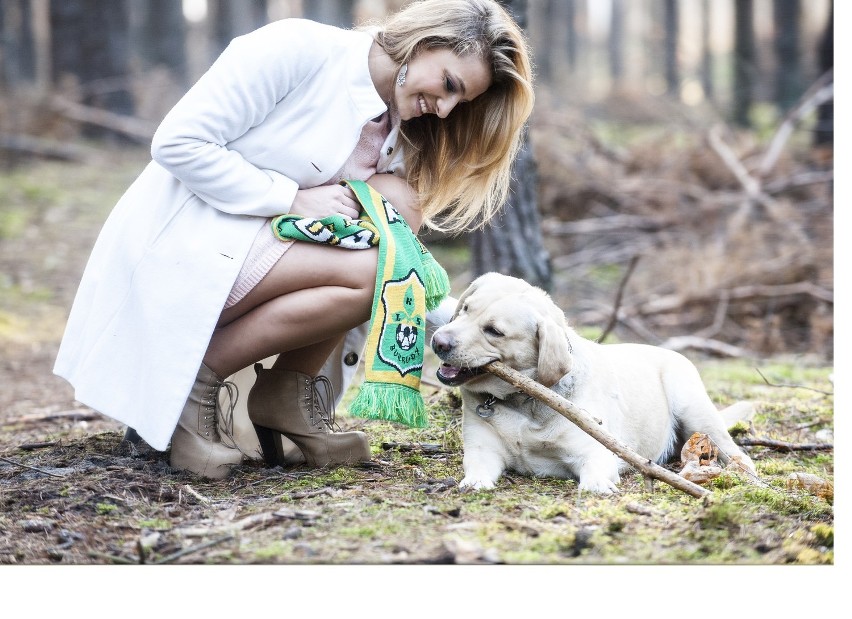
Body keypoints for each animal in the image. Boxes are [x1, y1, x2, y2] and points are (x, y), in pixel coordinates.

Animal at [432, 272, 760, 494]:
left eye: (494, 331)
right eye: (465, 308)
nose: (437, 342)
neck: (524, 401)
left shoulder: (595, 452)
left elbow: (594, 475)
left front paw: (599, 487)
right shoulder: (482, 449)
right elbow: (477, 469)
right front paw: (473, 482)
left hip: (693, 407)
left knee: (734, 450)